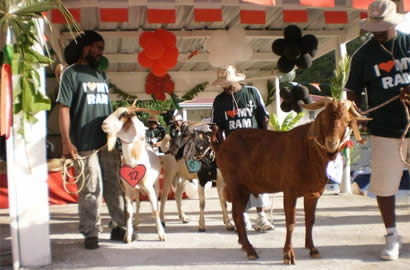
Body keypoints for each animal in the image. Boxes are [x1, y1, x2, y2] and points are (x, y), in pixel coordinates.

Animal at [102, 104, 175, 242]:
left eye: (123, 114)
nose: (104, 124)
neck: (135, 160)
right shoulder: (128, 189)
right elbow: (129, 212)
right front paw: (127, 236)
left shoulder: (149, 188)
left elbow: (155, 210)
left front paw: (161, 234)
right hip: (136, 190)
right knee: (138, 205)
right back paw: (135, 224)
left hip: (157, 184)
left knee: (159, 202)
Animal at [213, 97, 370, 264]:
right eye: (324, 119)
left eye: (347, 121)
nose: (331, 143)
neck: (310, 151)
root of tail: (221, 145)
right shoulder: (290, 192)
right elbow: (291, 223)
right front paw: (288, 254)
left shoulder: (313, 194)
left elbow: (310, 220)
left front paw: (312, 248)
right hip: (236, 185)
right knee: (237, 215)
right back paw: (250, 250)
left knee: (236, 213)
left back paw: (243, 245)